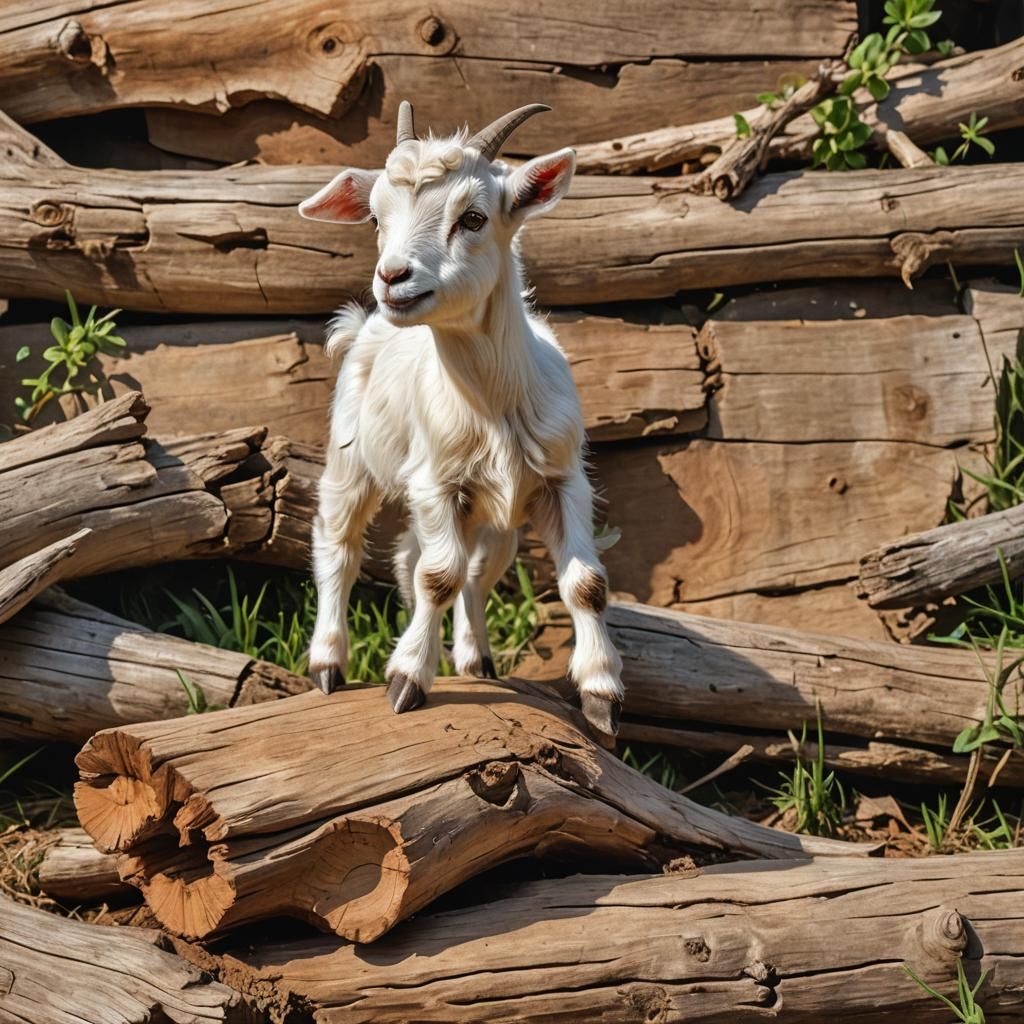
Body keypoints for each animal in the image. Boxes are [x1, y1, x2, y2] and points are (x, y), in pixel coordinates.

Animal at [297, 102, 624, 740]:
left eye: (472, 217)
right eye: (375, 218)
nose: (392, 276)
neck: (495, 401)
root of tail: (365, 325)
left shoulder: (562, 478)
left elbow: (585, 583)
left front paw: (600, 693)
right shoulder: (435, 481)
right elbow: (437, 577)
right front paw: (405, 680)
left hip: (493, 516)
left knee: (459, 568)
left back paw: (475, 659)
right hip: (352, 461)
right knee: (342, 546)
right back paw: (327, 662)